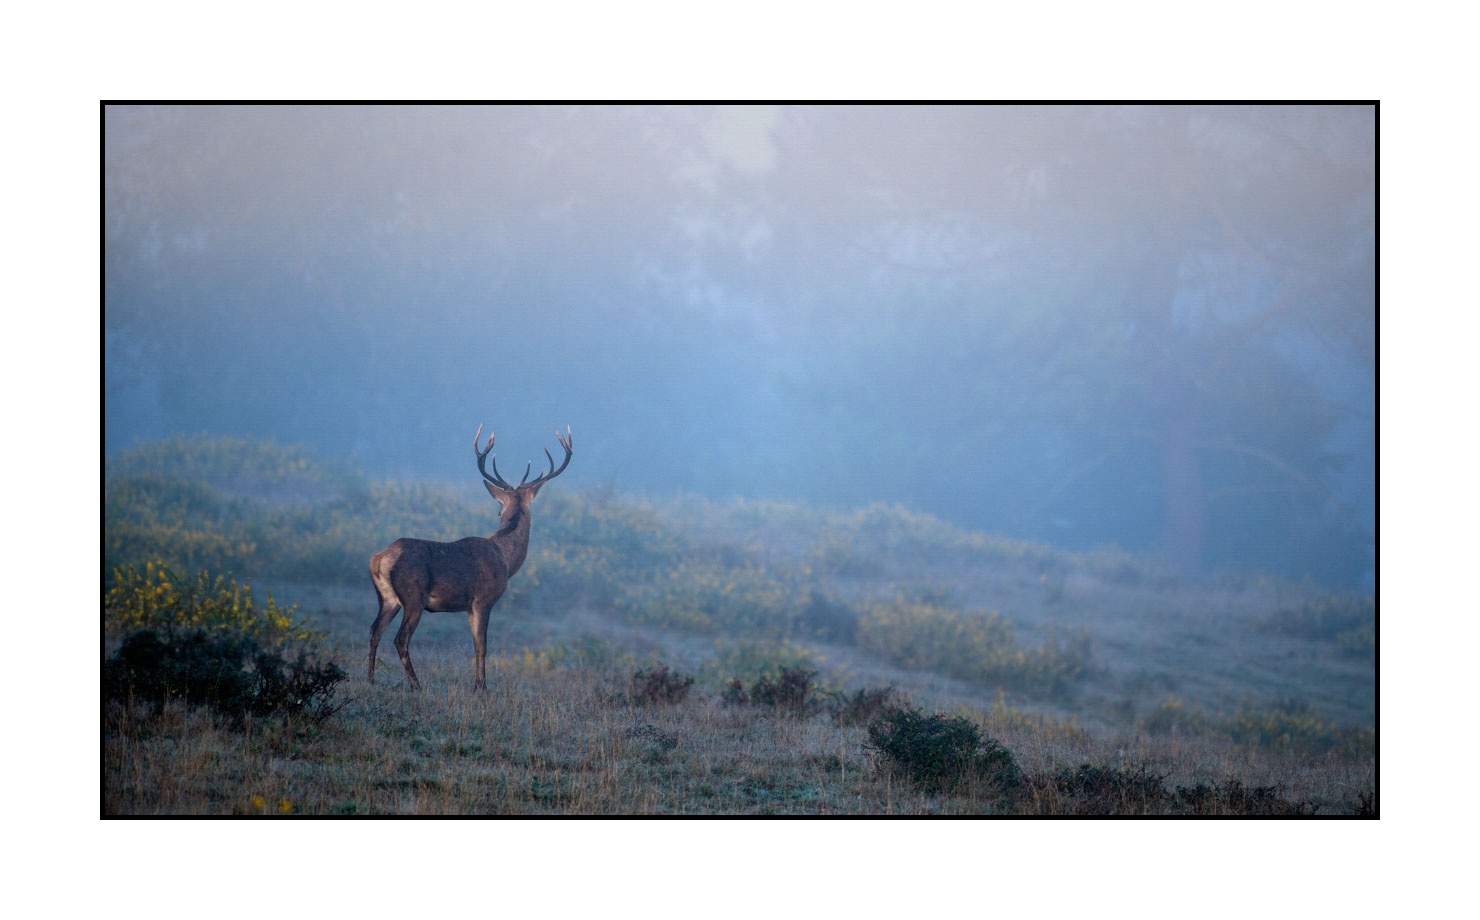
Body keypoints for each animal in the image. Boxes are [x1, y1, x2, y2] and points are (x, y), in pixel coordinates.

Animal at [368, 425, 572, 690]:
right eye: (499, 509)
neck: (506, 561)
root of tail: (379, 560)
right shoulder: (483, 599)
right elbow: (482, 646)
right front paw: (481, 687)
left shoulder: (468, 606)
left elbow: (475, 645)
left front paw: (478, 684)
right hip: (414, 596)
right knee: (400, 638)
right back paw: (416, 685)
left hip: (388, 597)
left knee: (375, 630)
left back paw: (370, 680)